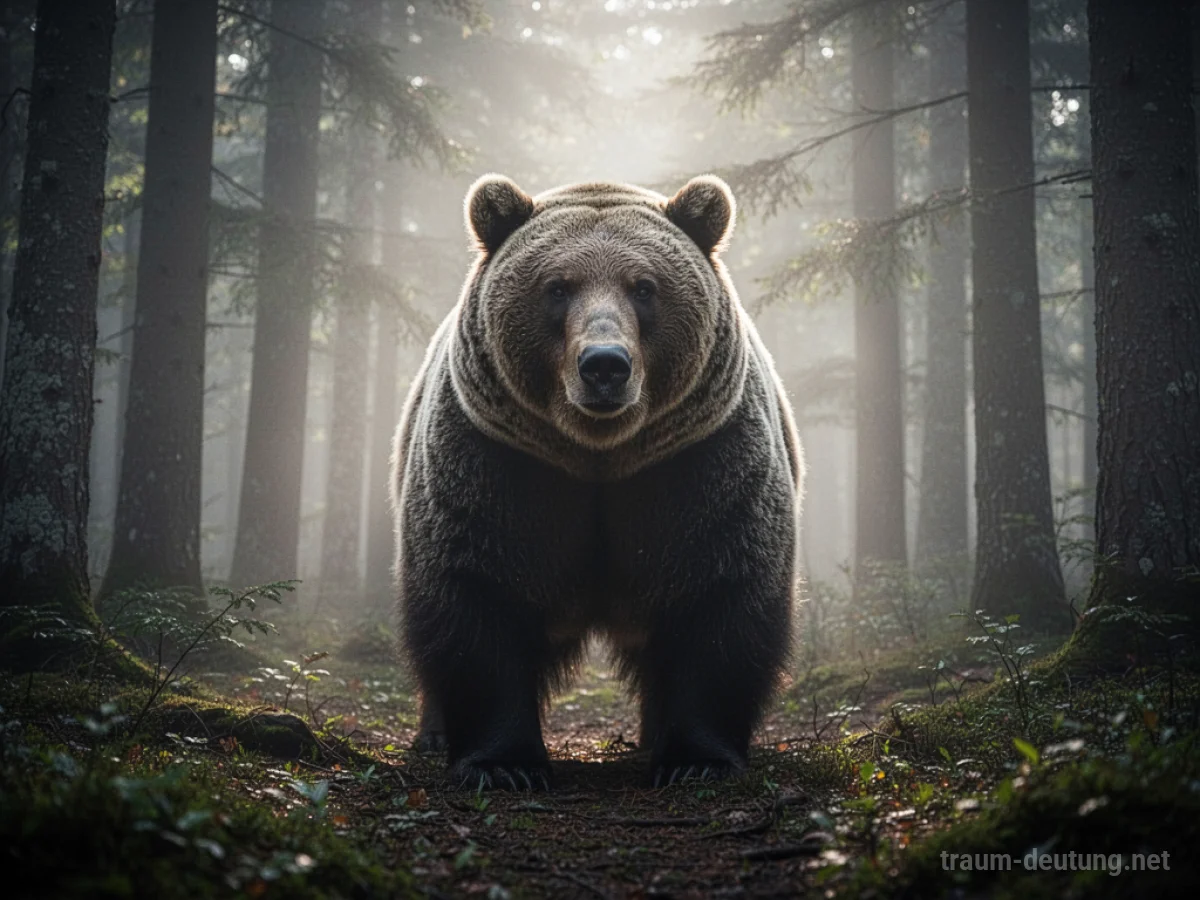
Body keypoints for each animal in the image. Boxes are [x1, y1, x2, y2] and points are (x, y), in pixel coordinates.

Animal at [391, 174, 803, 790]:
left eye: (644, 287)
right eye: (558, 287)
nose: (605, 364)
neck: (599, 457)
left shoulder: (702, 465)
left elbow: (721, 598)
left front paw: (697, 759)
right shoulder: (494, 463)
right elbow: (475, 596)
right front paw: (503, 763)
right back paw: (433, 734)